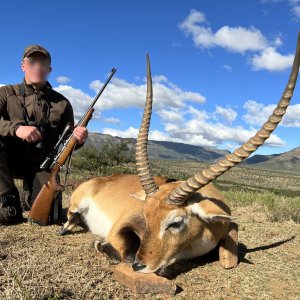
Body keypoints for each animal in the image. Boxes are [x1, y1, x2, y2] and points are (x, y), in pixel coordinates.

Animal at [60, 34, 300, 274]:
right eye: (145, 214)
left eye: (175, 222)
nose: (140, 264)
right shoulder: (121, 227)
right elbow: (125, 250)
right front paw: (101, 245)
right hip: (76, 205)